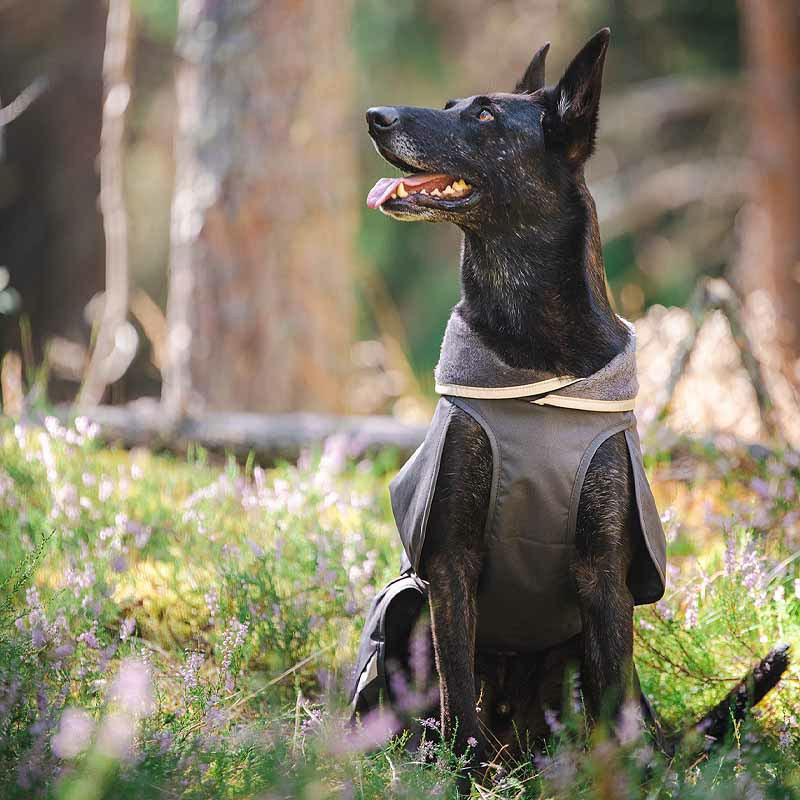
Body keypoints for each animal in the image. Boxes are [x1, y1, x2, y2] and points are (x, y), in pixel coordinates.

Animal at [360, 28, 788, 784]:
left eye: (485, 116)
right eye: (452, 104)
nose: (375, 116)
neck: (536, 361)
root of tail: (523, 744)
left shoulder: (603, 572)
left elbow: (615, 695)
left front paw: (629, 780)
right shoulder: (448, 563)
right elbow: (458, 684)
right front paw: (466, 777)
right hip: (407, 605)